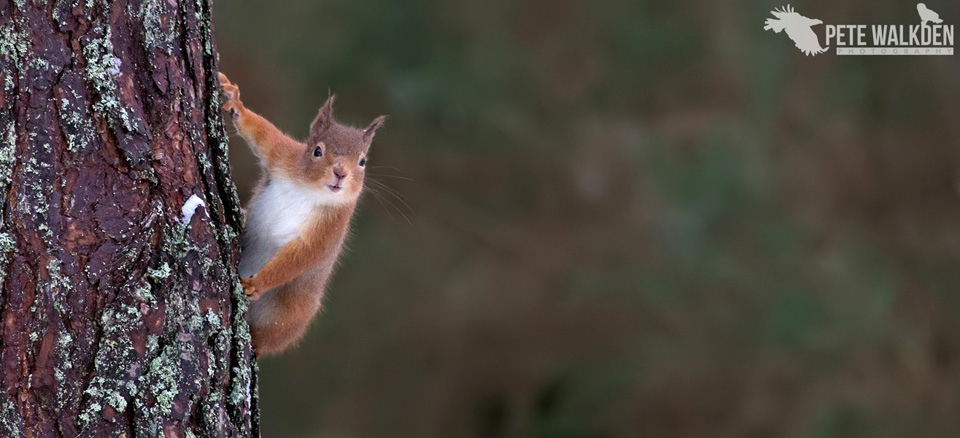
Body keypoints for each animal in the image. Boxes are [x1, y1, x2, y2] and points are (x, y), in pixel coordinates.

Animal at [219, 72, 384, 356]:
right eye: (317, 150)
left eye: (362, 162)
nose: (340, 173)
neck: (308, 190)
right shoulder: (283, 156)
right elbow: (262, 134)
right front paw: (235, 102)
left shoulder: (331, 227)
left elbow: (301, 256)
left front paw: (257, 282)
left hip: (286, 316)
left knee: (266, 339)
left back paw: (256, 344)